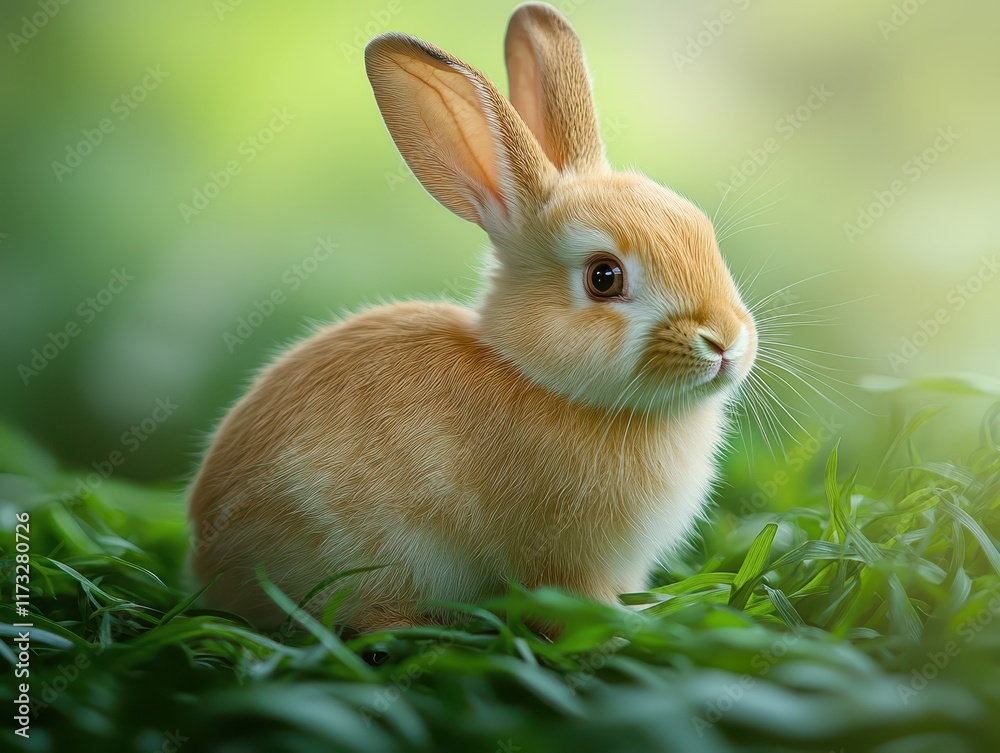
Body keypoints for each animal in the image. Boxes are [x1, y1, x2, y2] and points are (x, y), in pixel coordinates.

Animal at [189, 1, 757, 633]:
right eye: (604, 278)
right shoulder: (563, 561)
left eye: (701, 230)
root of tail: (208, 556)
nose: (726, 342)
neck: (536, 378)